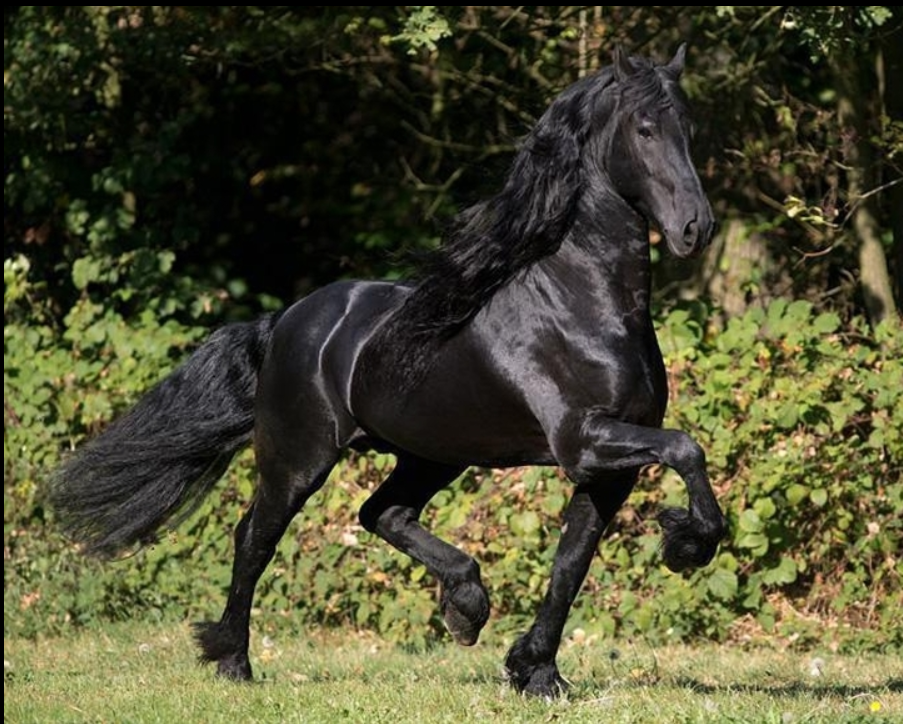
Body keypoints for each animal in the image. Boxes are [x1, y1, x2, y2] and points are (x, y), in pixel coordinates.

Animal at [49, 44, 727, 699]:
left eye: (691, 128)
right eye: (645, 128)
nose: (697, 227)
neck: (583, 304)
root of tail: (286, 320)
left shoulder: (607, 469)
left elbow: (570, 564)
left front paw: (536, 675)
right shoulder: (582, 442)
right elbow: (686, 448)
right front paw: (688, 544)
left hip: (430, 454)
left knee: (382, 514)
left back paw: (465, 607)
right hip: (299, 458)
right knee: (255, 538)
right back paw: (234, 663)